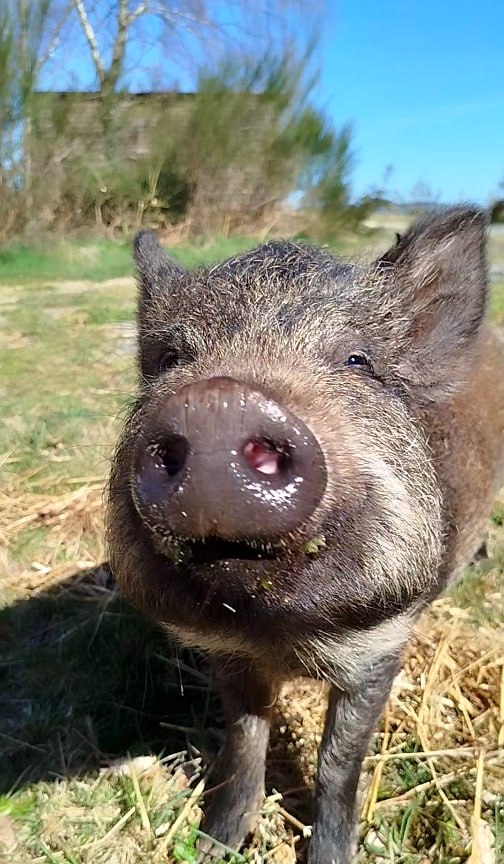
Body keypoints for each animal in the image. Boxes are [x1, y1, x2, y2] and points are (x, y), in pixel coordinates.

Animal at [107, 207, 504, 864]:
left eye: (357, 360)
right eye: (170, 357)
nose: (218, 401)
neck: (277, 632)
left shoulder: (381, 648)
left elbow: (338, 763)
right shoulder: (228, 655)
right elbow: (244, 743)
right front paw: (214, 845)